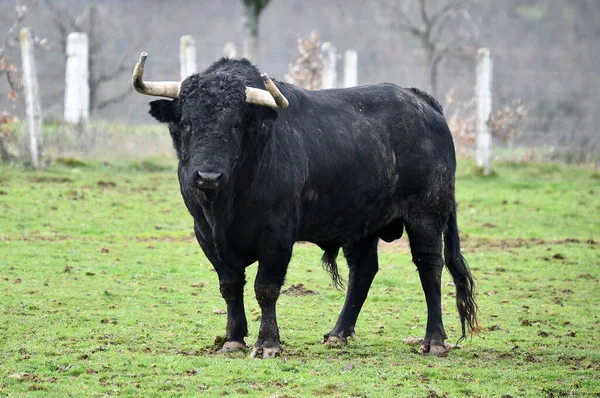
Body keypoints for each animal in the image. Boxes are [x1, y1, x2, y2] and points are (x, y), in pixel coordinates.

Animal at [131, 51, 478, 360]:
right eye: (185, 123)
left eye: (236, 124)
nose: (207, 176)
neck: (227, 205)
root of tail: (420, 100)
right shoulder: (206, 235)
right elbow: (230, 286)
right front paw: (233, 339)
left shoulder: (277, 236)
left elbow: (266, 288)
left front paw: (268, 344)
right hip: (362, 223)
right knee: (363, 269)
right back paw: (337, 334)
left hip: (427, 215)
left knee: (429, 267)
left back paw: (434, 341)